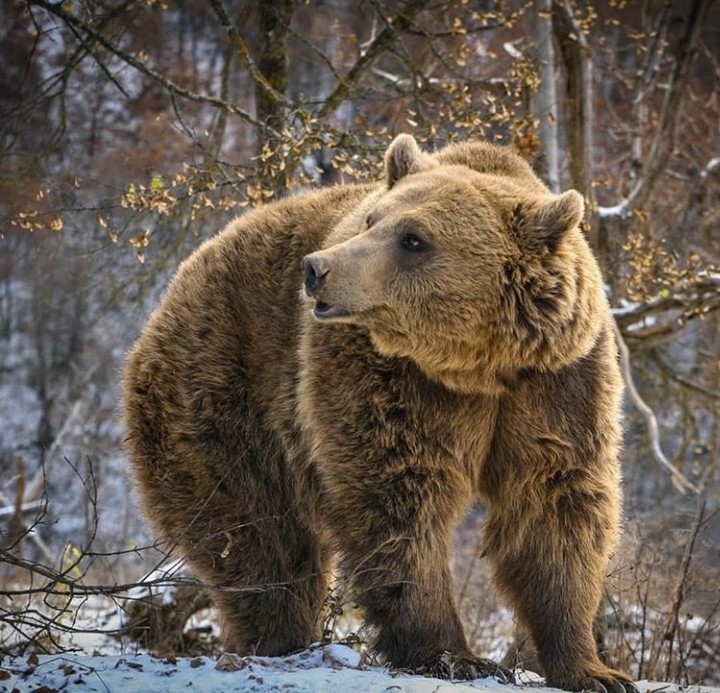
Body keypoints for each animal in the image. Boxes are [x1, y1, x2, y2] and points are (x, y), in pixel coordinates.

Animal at [123, 134, 636, 693]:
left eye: (413, 239)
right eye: (372, 220)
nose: (316, 268)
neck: (476, 366)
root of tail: (182, 279)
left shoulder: (557, 382)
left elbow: (554, 503)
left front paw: (593, 668)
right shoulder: (383, 376)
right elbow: (398, 496)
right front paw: (454, 654)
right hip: (221, 390)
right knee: (256, 535)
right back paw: (280, 636)